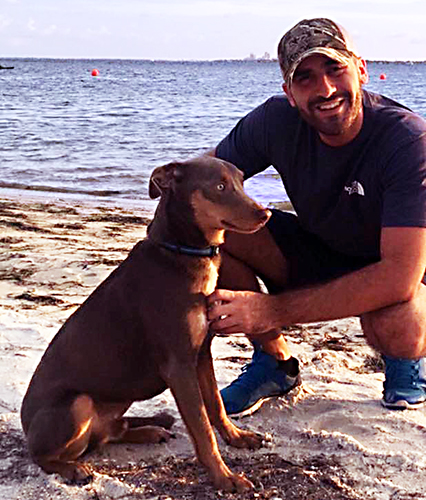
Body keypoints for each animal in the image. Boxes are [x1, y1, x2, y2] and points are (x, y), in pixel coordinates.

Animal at [20, 157, 270, 492]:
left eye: (242, 182)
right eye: (219, 186)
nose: (265, 214)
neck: (180, 251)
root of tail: (26, 428)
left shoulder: (201, 354)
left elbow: (216, 406)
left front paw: (237, 438)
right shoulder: (179, 365)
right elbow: (202, 429)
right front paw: (224, 477)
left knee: (108, 433)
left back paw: (150, 430)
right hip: (76, 406)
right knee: (43, 455)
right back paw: (73, 468)